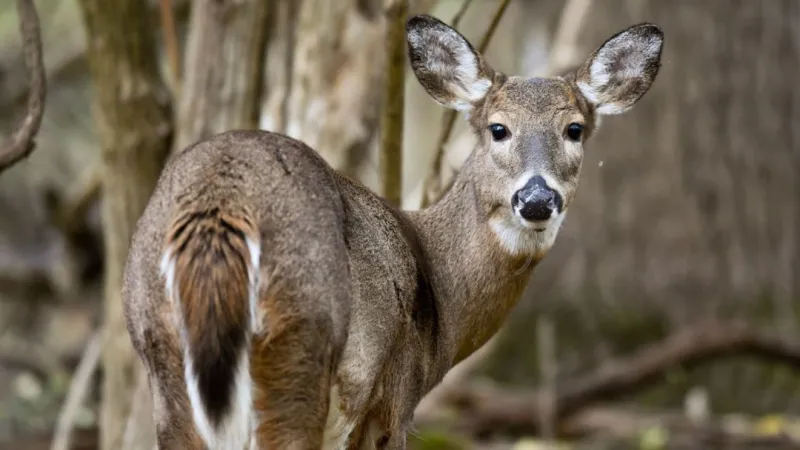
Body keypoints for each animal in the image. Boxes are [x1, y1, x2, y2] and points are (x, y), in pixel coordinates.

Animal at [122, 14, 663, 450]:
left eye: (574, 129)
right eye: (498, 129)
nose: (535, 200)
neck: (441, 294)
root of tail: (222, 204)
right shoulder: (394, 402)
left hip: (163, 358)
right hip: (300, 345)